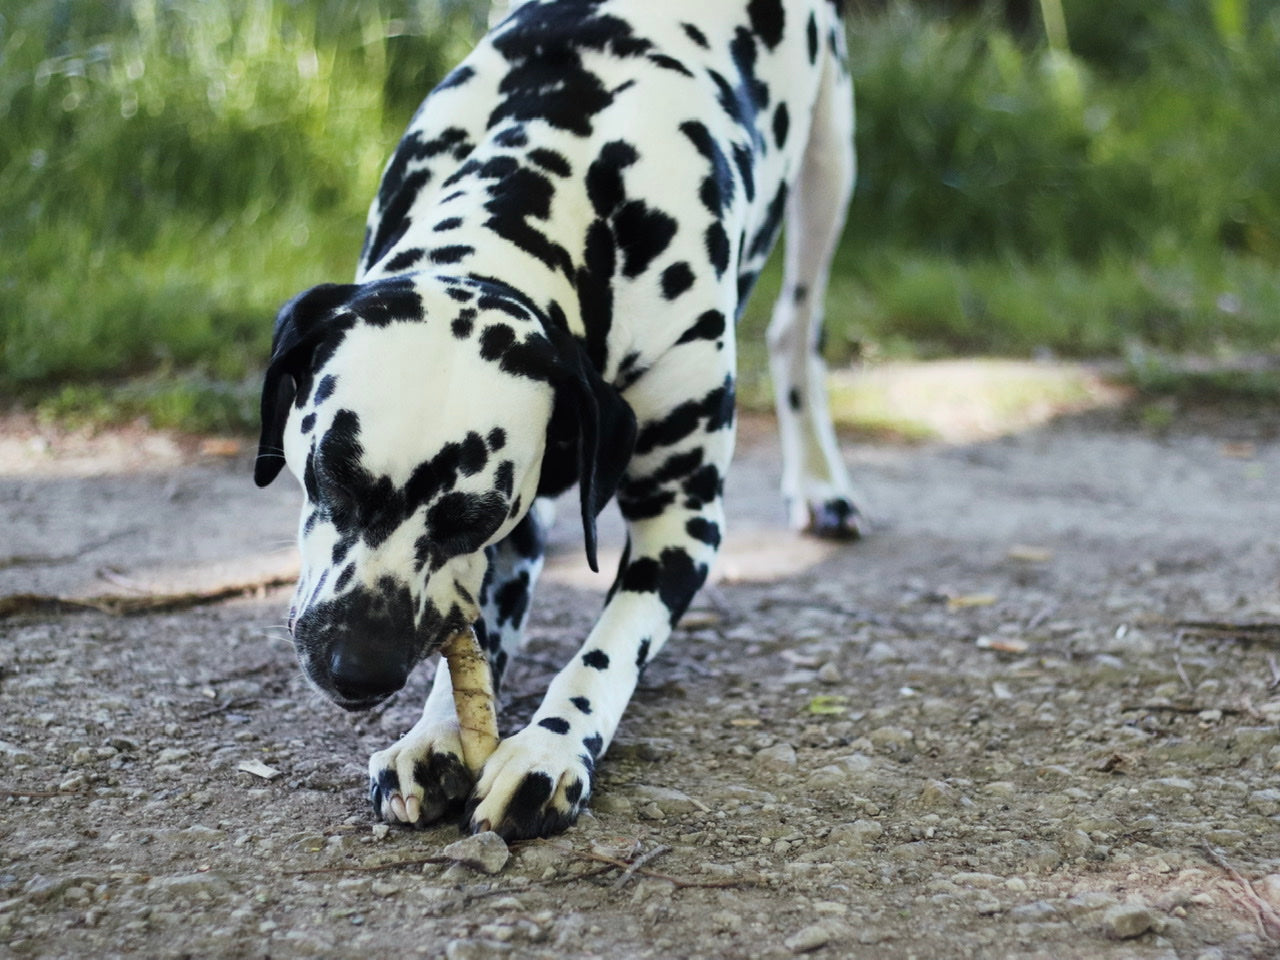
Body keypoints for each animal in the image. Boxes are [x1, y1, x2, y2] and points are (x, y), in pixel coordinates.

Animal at [254, 0, 860, 839]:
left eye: (470, 518)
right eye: (326, 476)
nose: (358, 669)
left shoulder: (683, 524)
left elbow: (605, 652)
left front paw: (550, 749)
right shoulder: (513, 542)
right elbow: (472, 635)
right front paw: (434, 735)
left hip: (830, 173)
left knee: (796, 330)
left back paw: (823, 485)